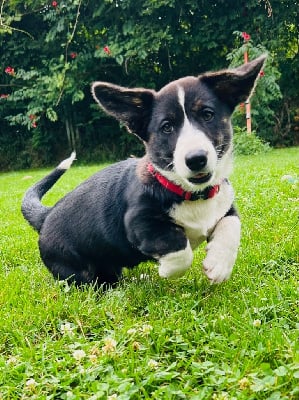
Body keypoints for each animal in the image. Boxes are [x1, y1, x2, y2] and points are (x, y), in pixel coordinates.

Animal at [22, 55, 268, 288]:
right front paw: (167, 270)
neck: (190, 194)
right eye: (166, 127)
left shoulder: (225, 206)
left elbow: (232, 226)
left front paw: (219, 266)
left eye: (208, 114)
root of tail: (47, 215)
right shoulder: (141, 223)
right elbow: (179, 249)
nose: (196, 159)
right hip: (74, 269)